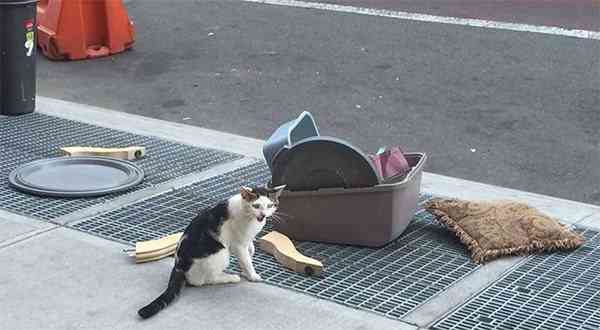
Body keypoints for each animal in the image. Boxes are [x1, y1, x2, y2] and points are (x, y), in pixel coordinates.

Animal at [138, 184, 286, 318]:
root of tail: (178, 265)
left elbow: (249, 252)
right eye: (256, 206)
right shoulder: (238, 245)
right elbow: (246, 261)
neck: (249, 217)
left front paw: (248, 260)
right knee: (205, 280)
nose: (263, 215)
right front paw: (253, 275)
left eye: (270, 205)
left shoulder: (247, 239)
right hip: (221, 252)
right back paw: (230, 277)